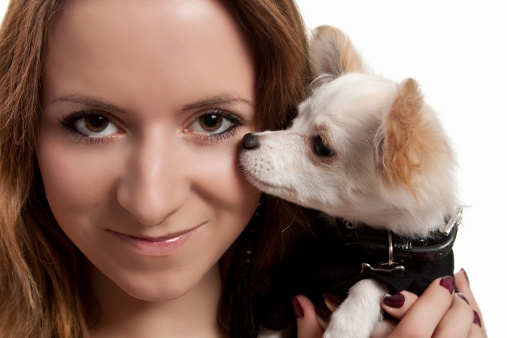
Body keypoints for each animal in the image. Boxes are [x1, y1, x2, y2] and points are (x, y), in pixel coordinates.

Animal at [241, 25, 460, 336]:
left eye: (321, 146)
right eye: (295, 119)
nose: (247, 139)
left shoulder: (412, 277)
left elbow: (372, 281)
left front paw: (348, 323)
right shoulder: (283, 293)